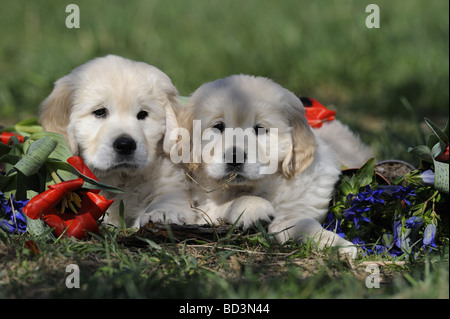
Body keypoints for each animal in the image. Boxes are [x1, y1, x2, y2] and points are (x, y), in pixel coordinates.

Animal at [40, 56, 197, 229]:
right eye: (100, 112)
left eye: (142, 114)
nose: (125, 145)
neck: (121, 180)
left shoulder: (172, 181)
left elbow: (169, 198)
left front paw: (161, 213)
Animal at [179, 75, 358, 258]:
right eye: (218, 126)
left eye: (259, 129)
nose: (234, 157)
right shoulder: (199, 208)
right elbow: (224, 204)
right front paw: (253, 205)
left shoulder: (291, 212)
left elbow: (306, 225)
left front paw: (337, 244)